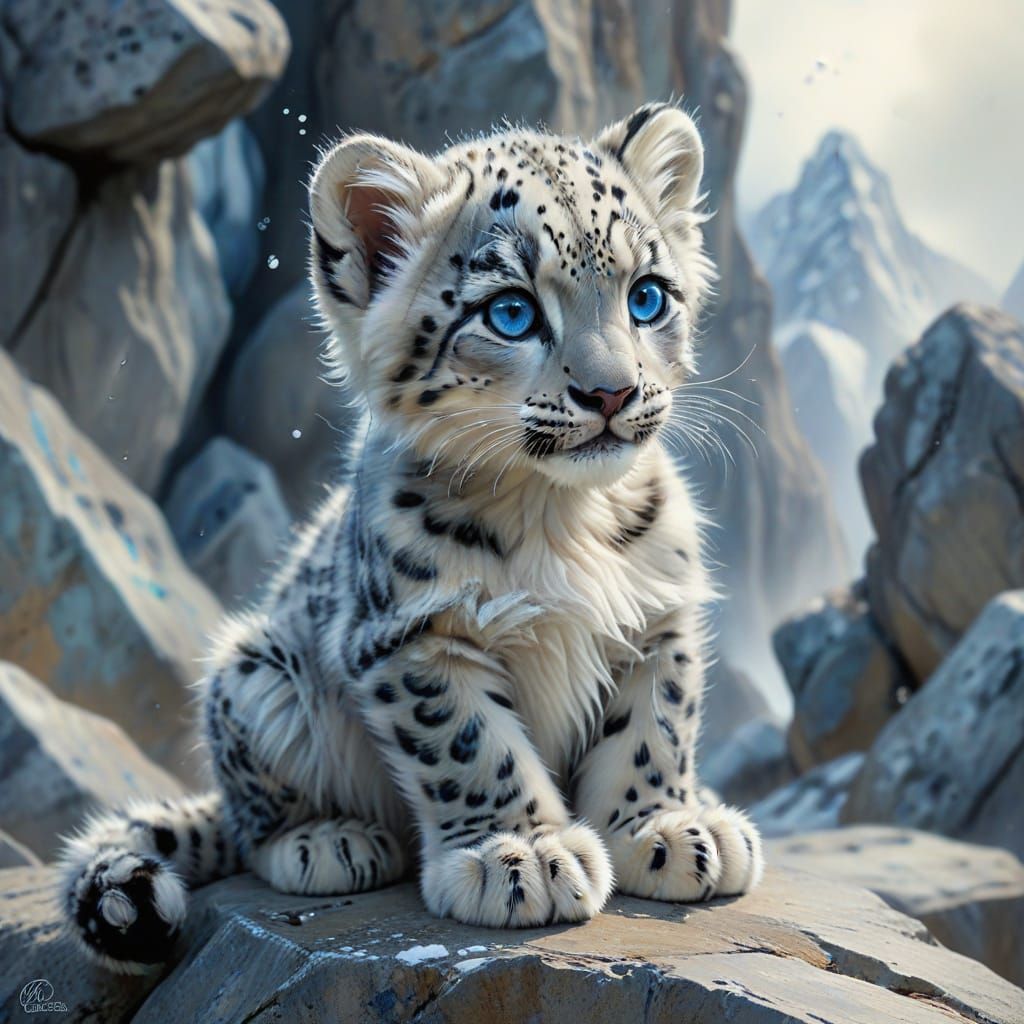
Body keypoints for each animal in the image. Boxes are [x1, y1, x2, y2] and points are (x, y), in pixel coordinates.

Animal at [58, 102, 763, 974]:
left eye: (647, 297)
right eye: (510, 311)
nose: (613, 393)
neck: (560, 517)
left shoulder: (659, 613)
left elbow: (655, 725)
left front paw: (663, 828)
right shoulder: (417, 634)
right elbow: (471, 744)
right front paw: (522, 855)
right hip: (254, 678)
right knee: (253, 822)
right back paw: (328, 842)